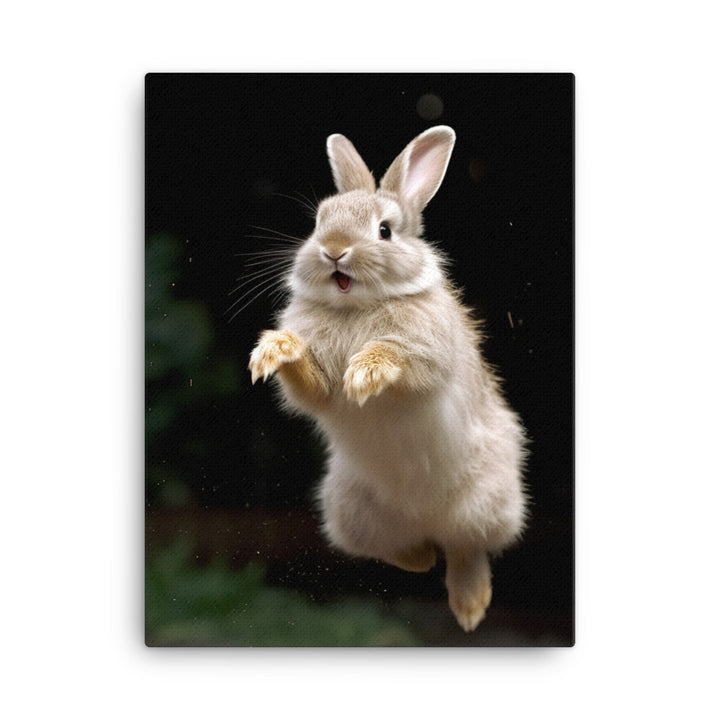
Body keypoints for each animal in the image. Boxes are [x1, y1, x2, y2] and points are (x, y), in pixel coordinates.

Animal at [248, 125, 527, 632]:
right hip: (347, 511)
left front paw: (366, 371)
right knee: (405, 552)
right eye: (319, 222)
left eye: (384, 230)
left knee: (467, 549)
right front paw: (275, 350)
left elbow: (403, 360)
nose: (333, 250)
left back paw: (470, 607)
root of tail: (424, 519)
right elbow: (312, 388)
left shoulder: (429, 357)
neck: (357, 306)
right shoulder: (317, 390)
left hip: (488, 504)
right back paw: (422, 558)